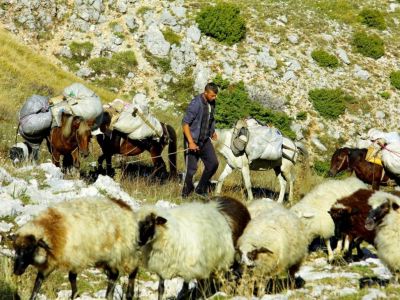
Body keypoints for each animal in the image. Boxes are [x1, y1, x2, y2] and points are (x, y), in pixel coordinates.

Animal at [12, 197, 140, 300]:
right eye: (16, 249)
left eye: (30, 249)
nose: (16, 271)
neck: (53, 231)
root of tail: (125, 206)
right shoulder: (51, 262)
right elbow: (38, 281)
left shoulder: (76, 258)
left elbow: (71, 277)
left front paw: (74, 295)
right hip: (108, 257)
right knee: (114, 274)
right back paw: (110, 295)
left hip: (123, 252)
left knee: (131, 270)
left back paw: (127, 294)